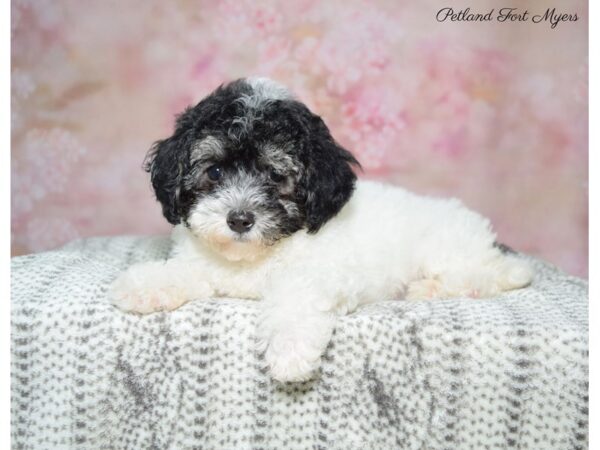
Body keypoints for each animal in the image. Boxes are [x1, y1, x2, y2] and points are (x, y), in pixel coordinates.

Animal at [112, 78, 536, 384]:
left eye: (275, 175)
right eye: (214, 172)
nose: (239, 219)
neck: (257, 256)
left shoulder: (323, 273)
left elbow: (297, 294)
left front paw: (289, 350)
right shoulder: (206, 261)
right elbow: (186, 271)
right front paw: (144, 286)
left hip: (450, 250)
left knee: (488, 276)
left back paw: (430, 287)